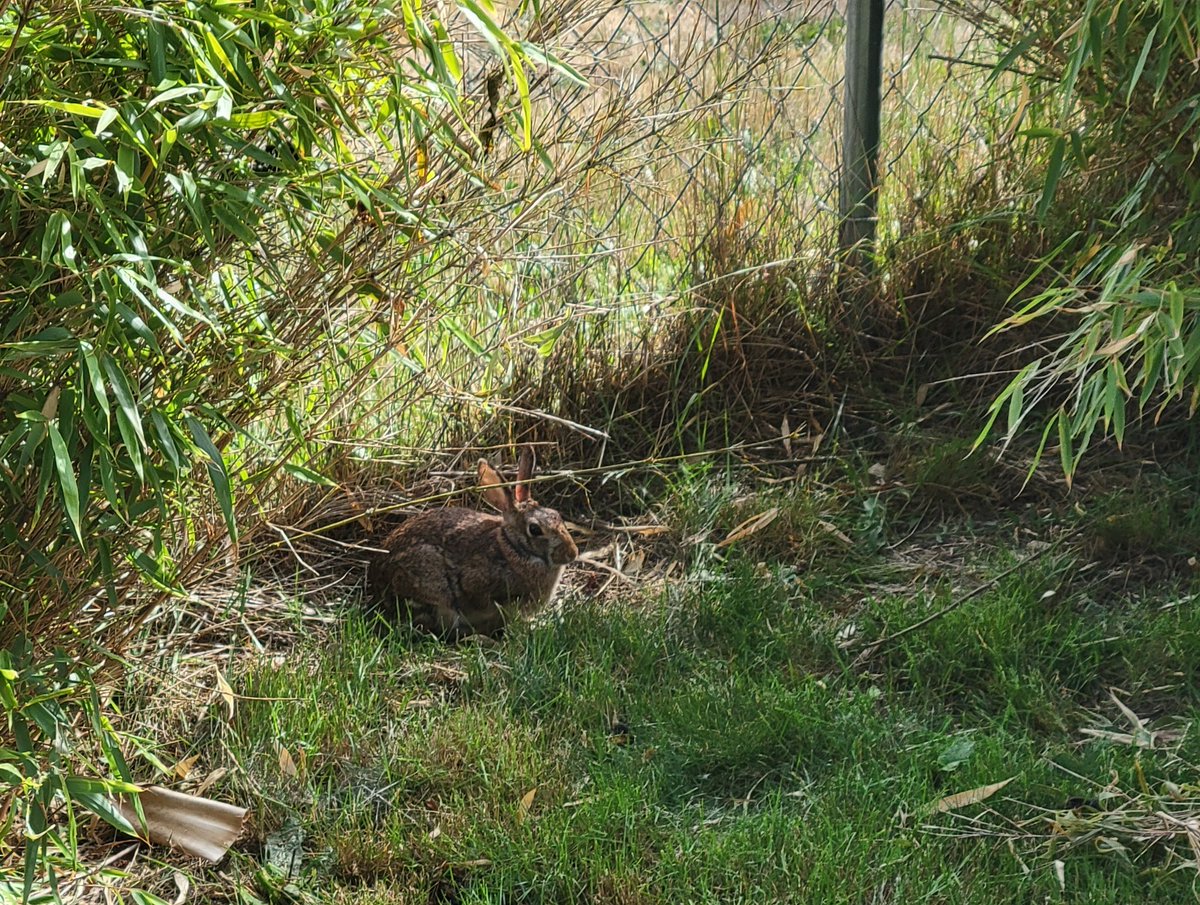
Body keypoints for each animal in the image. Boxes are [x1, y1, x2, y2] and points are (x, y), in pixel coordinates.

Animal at [367, 446, 578, 640]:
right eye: (535, 529)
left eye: (557, 515)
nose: (572, 553)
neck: (514, 548)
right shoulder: (478, 585)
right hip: (433, 592)